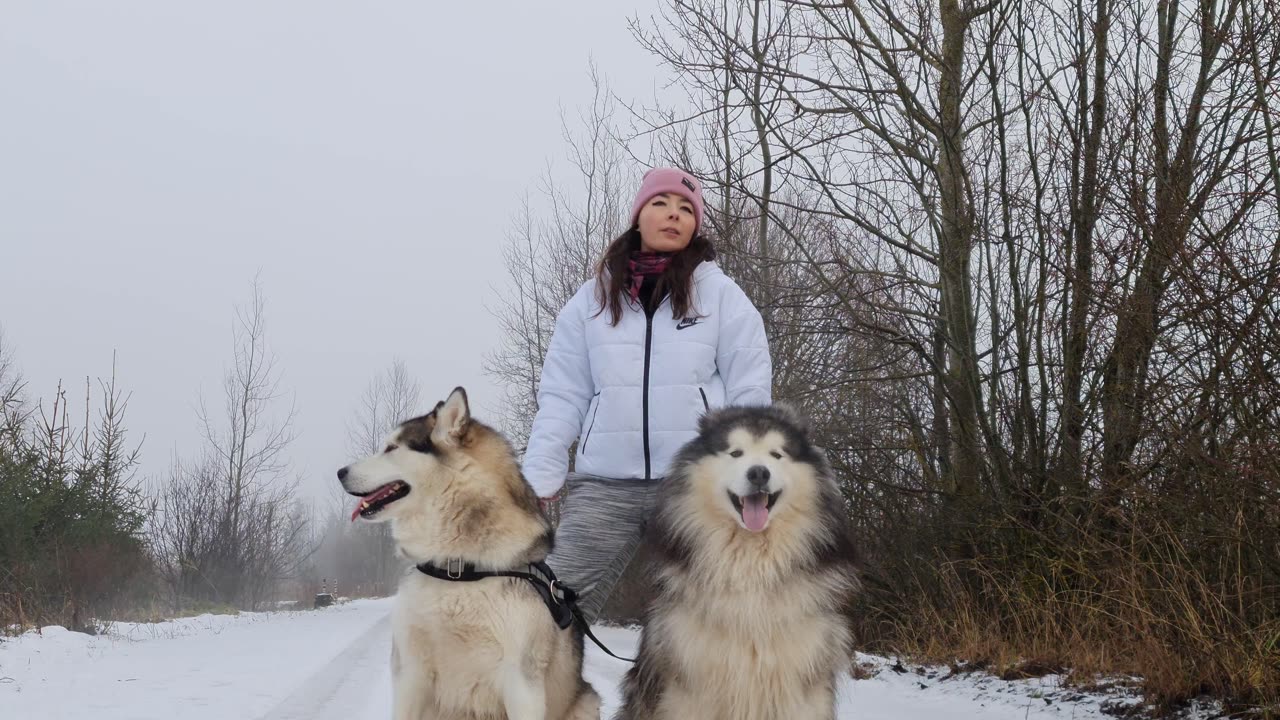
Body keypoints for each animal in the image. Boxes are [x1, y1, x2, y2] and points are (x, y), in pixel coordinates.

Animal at [340, 386, 599, 717]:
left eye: (391, 447)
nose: (340, 472)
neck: (457, 568)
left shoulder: (521, 682)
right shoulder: (410, 672)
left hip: (586, 701)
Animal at [614, 404, 855, 717]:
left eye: (776, 454)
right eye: (736, 453)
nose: (759, 473)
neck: (750, 564)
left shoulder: (800, 679)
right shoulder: (690, 683)